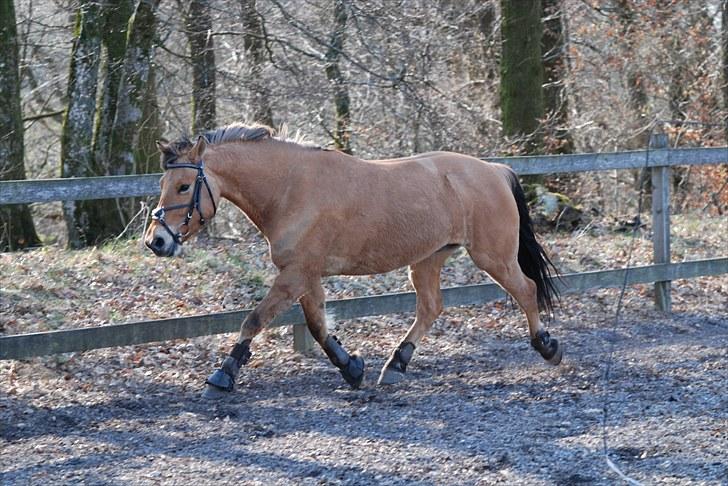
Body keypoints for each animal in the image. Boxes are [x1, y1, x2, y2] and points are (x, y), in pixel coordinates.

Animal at [144, 124, 564, 398]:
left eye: (184, 186)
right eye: (163, 184)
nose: (156, 241)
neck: (289, 188)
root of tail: (494, 170)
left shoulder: (295, 275)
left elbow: (255, 320)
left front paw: (222, 376)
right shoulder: (306, 275)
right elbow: (317, 326)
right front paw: (352, 368)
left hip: (493, 256)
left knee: (526, 290)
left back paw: (547, 346)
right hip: (427, 259)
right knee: (431, 308)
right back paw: (395, 365)